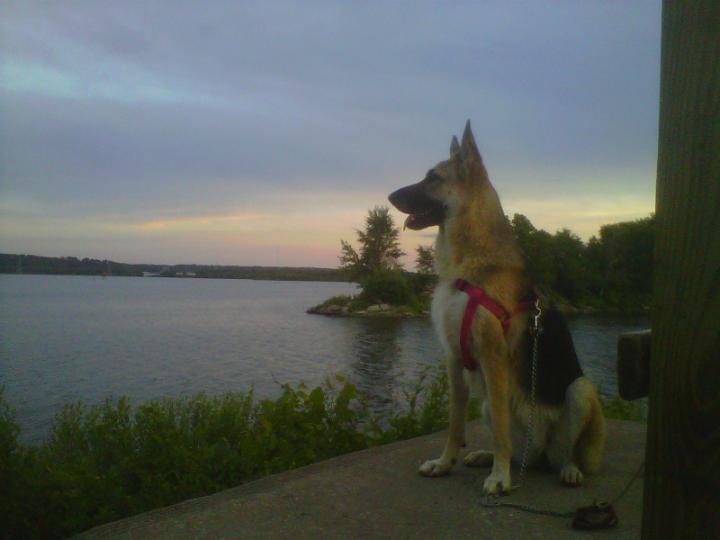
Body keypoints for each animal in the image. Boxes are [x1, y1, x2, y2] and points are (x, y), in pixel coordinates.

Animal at [388, 121, 600, 494]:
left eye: (433, 177)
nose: (389, 197)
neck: (470, 267)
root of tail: (537, 453)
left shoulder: (492, 358)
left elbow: (502, 429)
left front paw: (499, 479)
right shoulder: (454, 359)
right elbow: (454, 424)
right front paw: (445, 463)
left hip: (580, 390)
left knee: (561, 452)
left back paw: (567, 469)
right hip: (487, 403)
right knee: (519, 450)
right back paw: (488, 457)